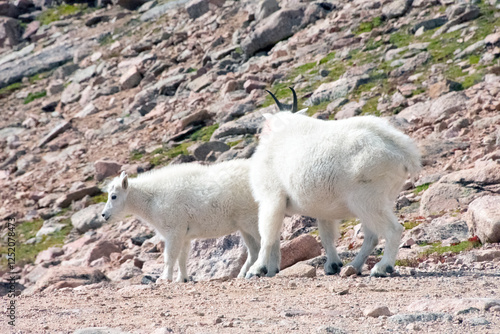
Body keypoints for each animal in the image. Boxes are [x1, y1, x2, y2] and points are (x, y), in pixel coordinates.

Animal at [246, 87, 422, 278]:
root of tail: (403, 151)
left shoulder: (271, 199)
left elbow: (268, 236)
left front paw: (257, 269)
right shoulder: (322, 210)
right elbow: (326, 236)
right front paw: (332, 265)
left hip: (366, 200)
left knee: (392, 230)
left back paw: (382, 268)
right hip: (380, 201)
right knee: (372, 236)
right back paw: (355, 266)